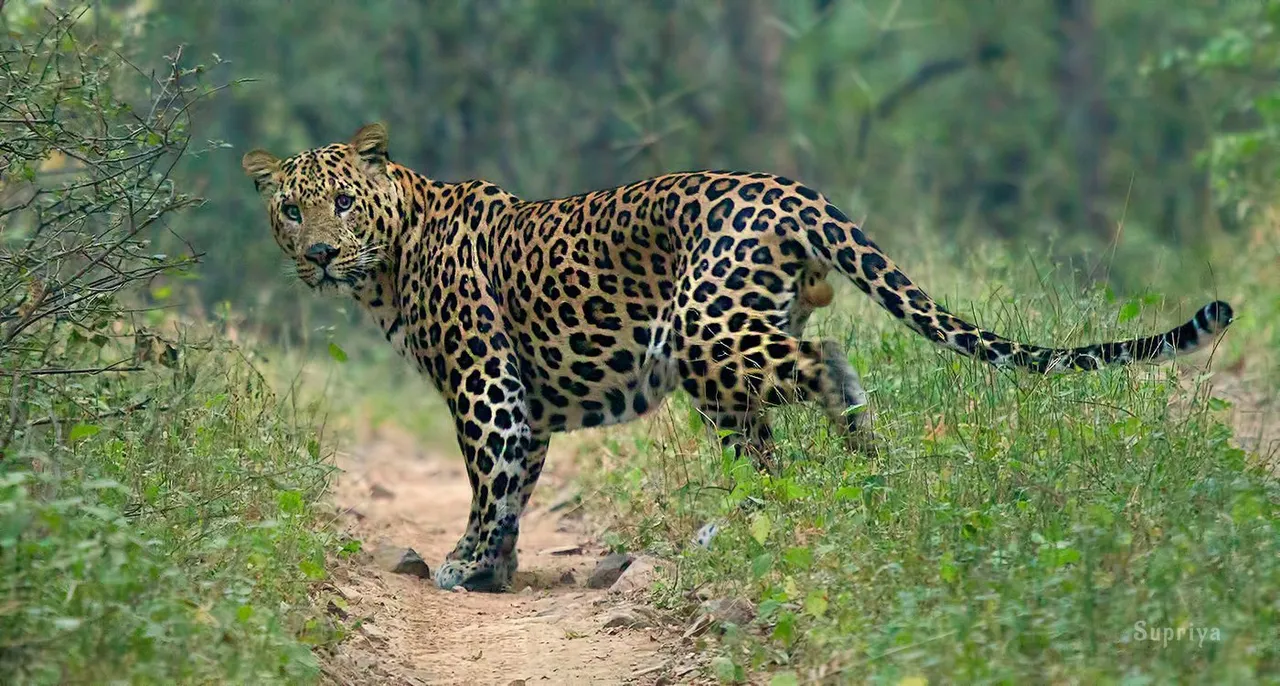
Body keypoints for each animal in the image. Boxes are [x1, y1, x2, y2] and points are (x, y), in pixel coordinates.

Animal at [240, 124, 1228, 593]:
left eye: (340, 202)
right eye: (290, 208)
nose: (316, 254)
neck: (390, 260)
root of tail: (790, 189)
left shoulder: (487, 384)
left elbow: (489, 481)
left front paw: (461, 567)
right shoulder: (526, 401)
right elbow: (516, 486)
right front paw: (496, 572)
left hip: (705, 331)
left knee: (827, 364)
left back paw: (858, 466)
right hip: (723, 359)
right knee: (771, 442)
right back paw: (795, 508)